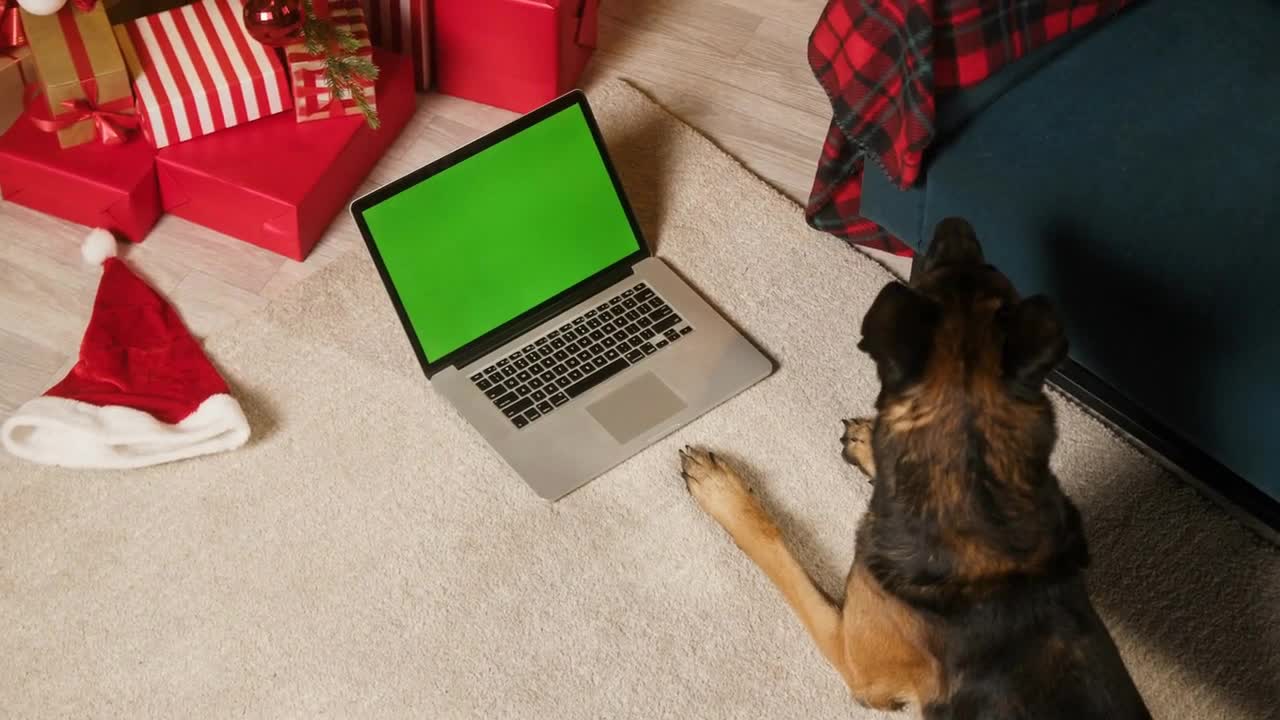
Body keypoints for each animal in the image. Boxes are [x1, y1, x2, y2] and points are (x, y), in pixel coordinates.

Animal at [680, 219, 1152, 717]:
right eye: (990, 269)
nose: (954, 222)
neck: (981, 497)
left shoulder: (855, 658)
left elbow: (780, 554)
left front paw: (721, 490)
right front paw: (868, 443)